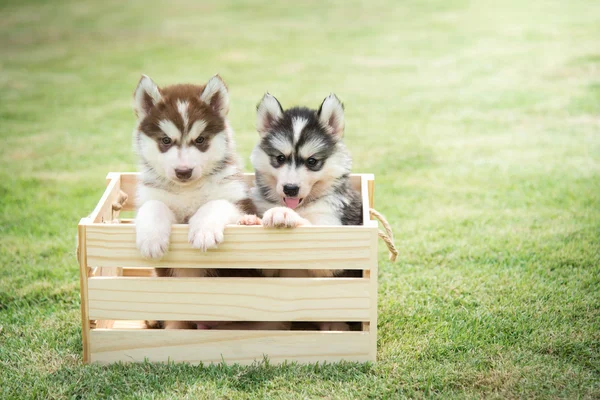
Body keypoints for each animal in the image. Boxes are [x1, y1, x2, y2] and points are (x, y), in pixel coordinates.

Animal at [134, 73, 255, 330]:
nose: (183, 171)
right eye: (165, 140)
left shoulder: (238, 200)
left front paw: (204, 230)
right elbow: (154, 206)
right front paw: (151, 238)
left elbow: (216, 204)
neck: (186, 190)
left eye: (200, 140)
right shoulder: (151, 196)